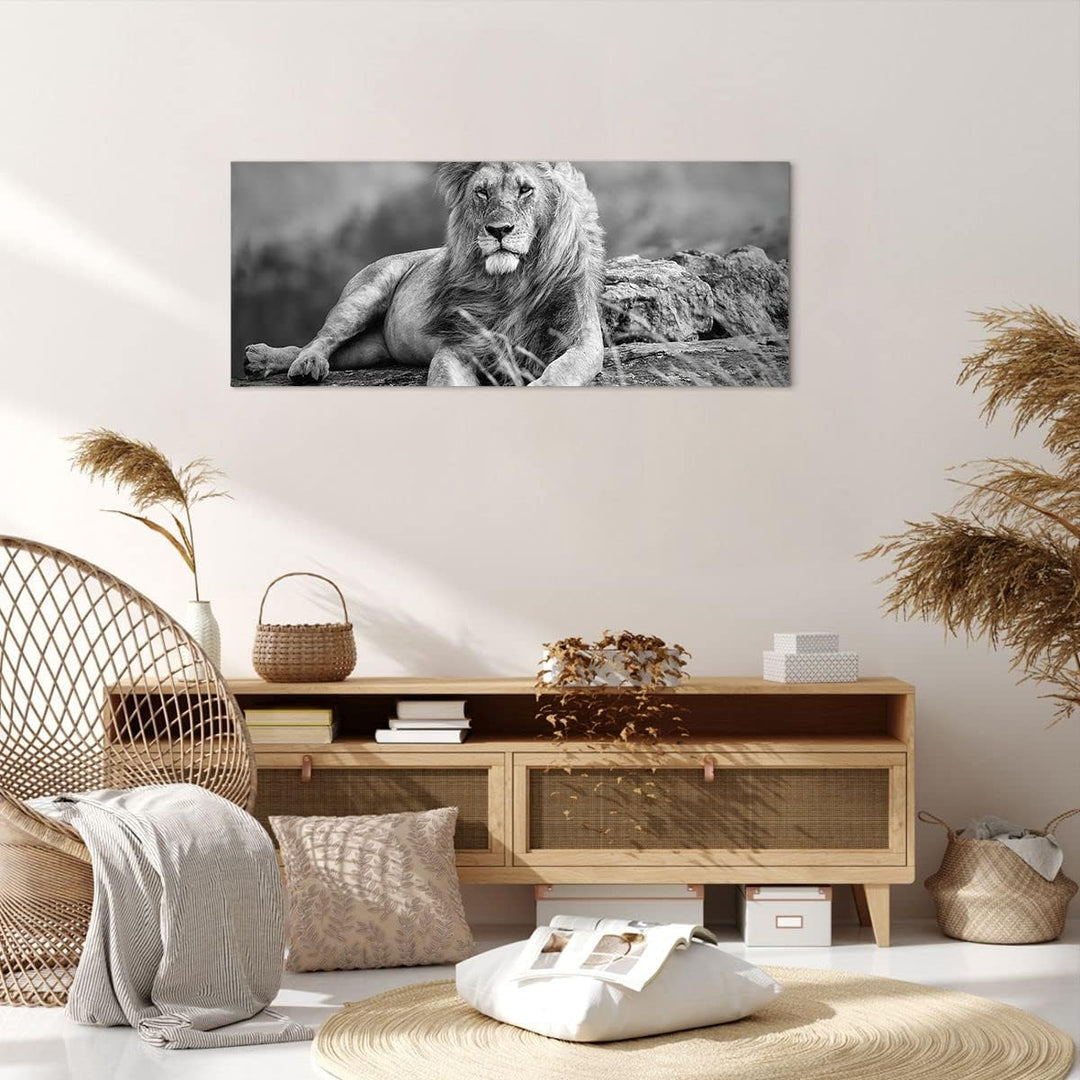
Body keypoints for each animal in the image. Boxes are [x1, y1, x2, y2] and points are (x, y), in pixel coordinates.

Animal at [244, 161, 606, 387]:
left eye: (525, 190)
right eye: (482, 192)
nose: (499, 230)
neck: (515, 282)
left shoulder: (584, 340)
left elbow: (562, 372)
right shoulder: (458, 345)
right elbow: (446, 378)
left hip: (370, 350)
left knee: (319, 348)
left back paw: (263, 360)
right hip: (364, 294)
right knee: (321, 339)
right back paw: (298, 364)